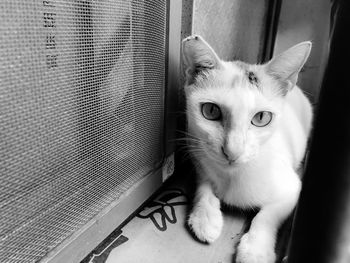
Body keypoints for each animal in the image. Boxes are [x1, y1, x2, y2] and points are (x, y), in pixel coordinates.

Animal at [182, 35, 314, 263]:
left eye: (261, 117)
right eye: (210, 110)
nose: (232, 151)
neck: (233, 176)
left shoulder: (293, 188)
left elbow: (267, 215)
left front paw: (256, 250)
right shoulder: (198, 155)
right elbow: (203, 185)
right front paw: (205, 217)